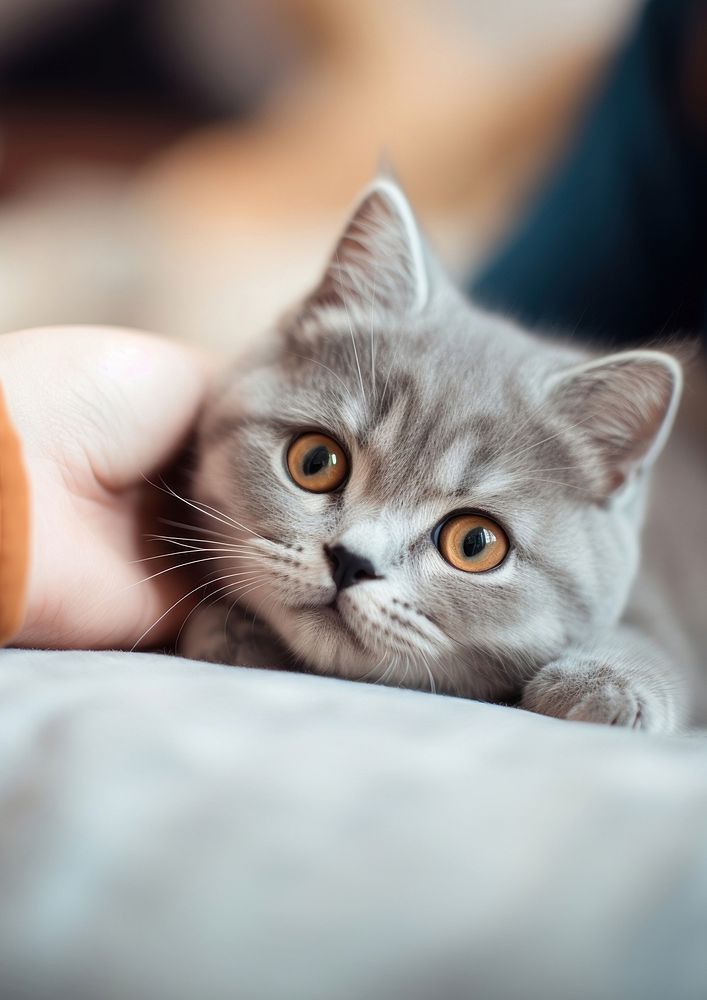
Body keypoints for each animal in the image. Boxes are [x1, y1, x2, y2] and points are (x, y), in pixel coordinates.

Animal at [181, 178, 696, 736]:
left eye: (474, 543)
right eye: (316, 462)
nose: (351, 561)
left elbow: (662, 641)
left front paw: (606, 682)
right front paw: (229, 629)